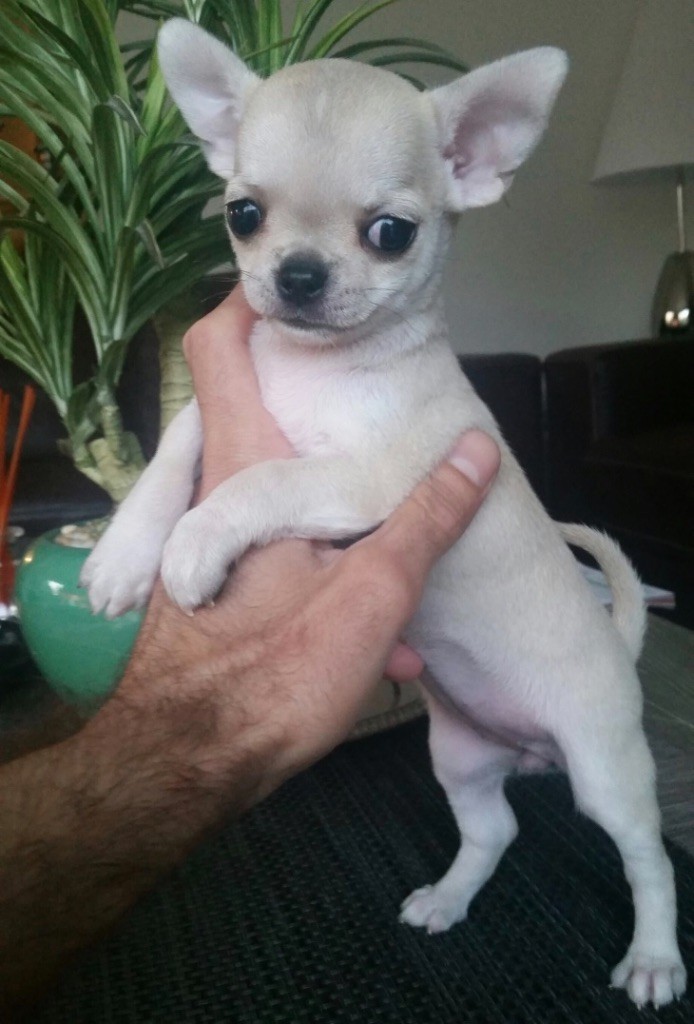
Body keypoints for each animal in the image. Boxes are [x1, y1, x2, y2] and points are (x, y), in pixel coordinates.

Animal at [81, 19, 686, 1008]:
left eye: (390, 234)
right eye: (242, 215)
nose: (296, 274)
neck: (315, 369)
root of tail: (616, 643)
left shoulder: (365, 480)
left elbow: (259, 483)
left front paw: (195, 545)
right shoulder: (214, 410)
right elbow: (172, 456)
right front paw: (125, 555)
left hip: (605, 770)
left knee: (649, 862)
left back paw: (655, 957)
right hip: (462, 757)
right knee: (495, 830)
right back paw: (449, 897)